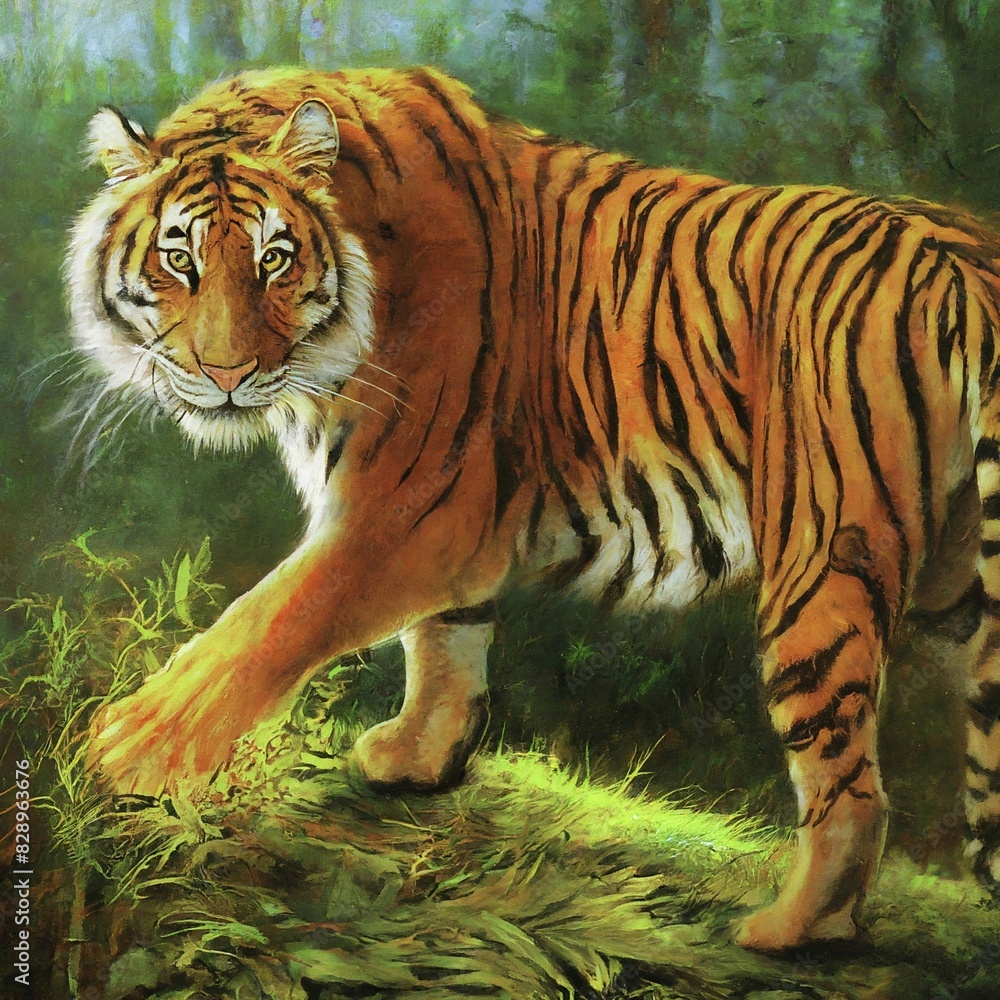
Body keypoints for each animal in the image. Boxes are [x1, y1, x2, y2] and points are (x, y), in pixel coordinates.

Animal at [68, 65, 1000, 952]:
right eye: (180, 260)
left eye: (273, 259)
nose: (225, 374)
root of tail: (962, 258)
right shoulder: (449, 521)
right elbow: (445, 642)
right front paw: (418, 757)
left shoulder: (404, 510)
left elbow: (265, 626)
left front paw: (130, 748)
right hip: (965, 582)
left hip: (823, 560)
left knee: (851, 785)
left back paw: (793, 929)